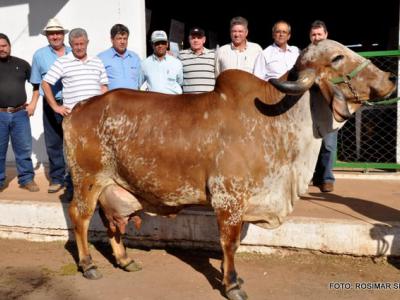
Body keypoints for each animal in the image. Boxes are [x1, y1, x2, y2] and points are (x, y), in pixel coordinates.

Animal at [64, 40, 396, 300]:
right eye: (338, 58)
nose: (390, 77)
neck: (278, 121)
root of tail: (78, 109)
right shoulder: (229, 199)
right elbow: (230, 243)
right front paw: (232, 284)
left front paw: (229, 276)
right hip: (87, 179)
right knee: (80, 217)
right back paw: (89, 265)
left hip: (111, 184)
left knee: (111, 221)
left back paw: (124, 259)